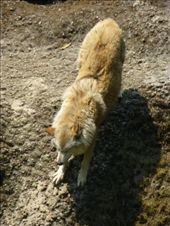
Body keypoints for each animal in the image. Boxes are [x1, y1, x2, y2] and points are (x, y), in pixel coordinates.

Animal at [47, 18, 125, 186]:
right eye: (57, 148)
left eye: (67, 149)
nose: (57, 163)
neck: (76, 111)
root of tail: (108, 20)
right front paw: (61, 171)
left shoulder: (92, 140)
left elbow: (85, 161)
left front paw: (81, 176)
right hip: (80, 58)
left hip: (121, 63)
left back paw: (120, 92)